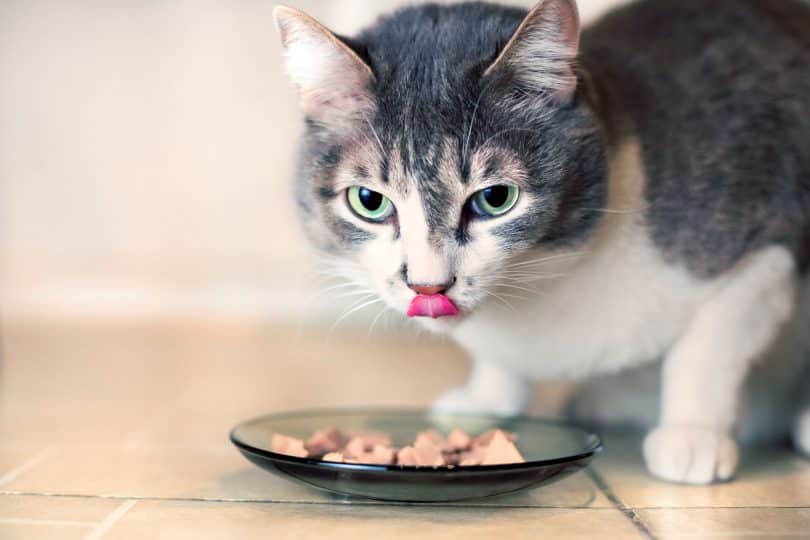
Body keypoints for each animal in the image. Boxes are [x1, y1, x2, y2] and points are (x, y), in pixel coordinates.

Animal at [274, 0, 808, 486]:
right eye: (368, 200)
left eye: (495, 198)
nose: (429, 286)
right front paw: (487, 398)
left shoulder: (764, 242)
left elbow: (707, 348)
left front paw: (693, 435)